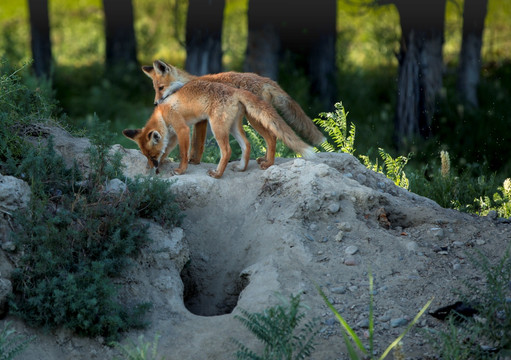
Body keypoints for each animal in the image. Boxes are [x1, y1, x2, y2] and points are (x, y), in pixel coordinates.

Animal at [124, 80, 316, 179]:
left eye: (152, 156)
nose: (152, 169)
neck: (163, 114)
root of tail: (234, 90)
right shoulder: (172, 135)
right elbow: (168, 150)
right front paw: (165, 162)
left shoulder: (182, 129)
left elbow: (184, 154)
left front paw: (181, 170)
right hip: (233, 127)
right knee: (247, 144)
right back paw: (242, 168)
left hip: (218, 128)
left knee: (228, 150)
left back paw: (217, 173)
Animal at [140, 59, 324, 169]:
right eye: (155, 89)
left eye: (161, 88)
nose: (156, 103)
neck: (187, 83)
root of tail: (267, 80)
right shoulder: (199, 119)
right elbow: (195, 144)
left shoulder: (202, 121)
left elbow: (198, 144)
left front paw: (194, 161)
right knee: (272, 137)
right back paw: (263, 160)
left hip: (253, 118)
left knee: (272, 137)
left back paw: (268, 163)